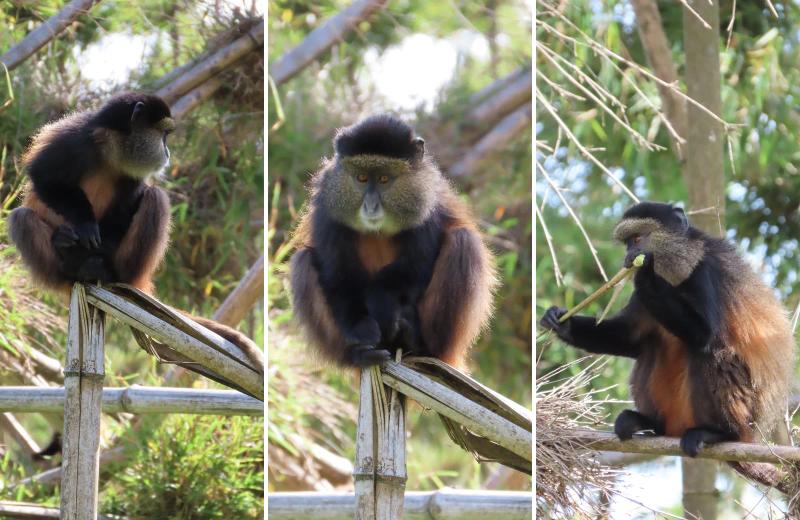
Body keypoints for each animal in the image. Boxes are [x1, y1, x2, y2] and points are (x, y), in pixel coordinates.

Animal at [7, 92, 263, 375]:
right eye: (163, 135)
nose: (167, 152)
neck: (110, 150)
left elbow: (129, 204)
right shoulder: (74, 139)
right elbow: (42, 177)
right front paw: (84, 225)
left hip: (130, 263)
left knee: (155, 197)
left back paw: (105, 270)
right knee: (21, 217)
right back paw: (70, 263)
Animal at [290, 114, 496, 369]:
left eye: (384, 179)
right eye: (361, 178)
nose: (370, 205)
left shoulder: (428, 208)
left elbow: (415, 267)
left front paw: (383, 304)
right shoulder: (327, 209)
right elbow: (338, 275)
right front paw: (362, 329)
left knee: (463, 241)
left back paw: (420, 343)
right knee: (303, 260)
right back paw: (359, 356)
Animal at [539, 201, 795, 492]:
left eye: (638, 239)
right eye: (627, 242)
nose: (630, 255)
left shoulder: (705, 271)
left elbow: (704, 335)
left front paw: (645, 271)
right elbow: (629, 338)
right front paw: (561, 323)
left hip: (741, 418)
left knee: (711, 354)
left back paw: (719, 433)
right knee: (649, 350)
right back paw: (648, 422)